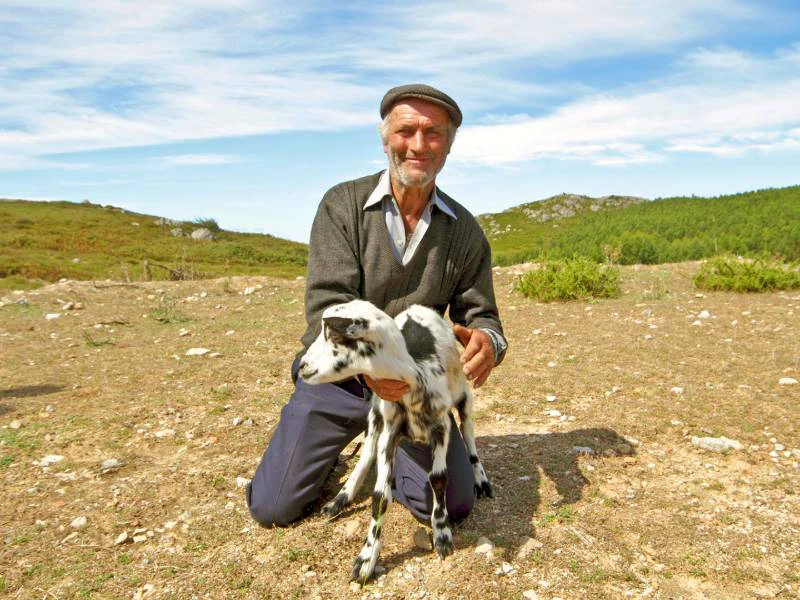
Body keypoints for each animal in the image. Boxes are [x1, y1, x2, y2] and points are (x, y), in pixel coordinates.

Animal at [297, 299, 493, 582]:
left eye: (334, 336)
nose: (302, 366)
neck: (417, 378)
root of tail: (419, 307)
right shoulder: (389, 430)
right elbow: (380, 496)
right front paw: (366, 559)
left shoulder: (442, 428)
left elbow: (439, 478)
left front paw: (442, 534)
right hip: (375, 414)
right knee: (366, 453)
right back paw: (340, 500)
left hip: (464, 396)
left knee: (468, 432)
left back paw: (481, 479)